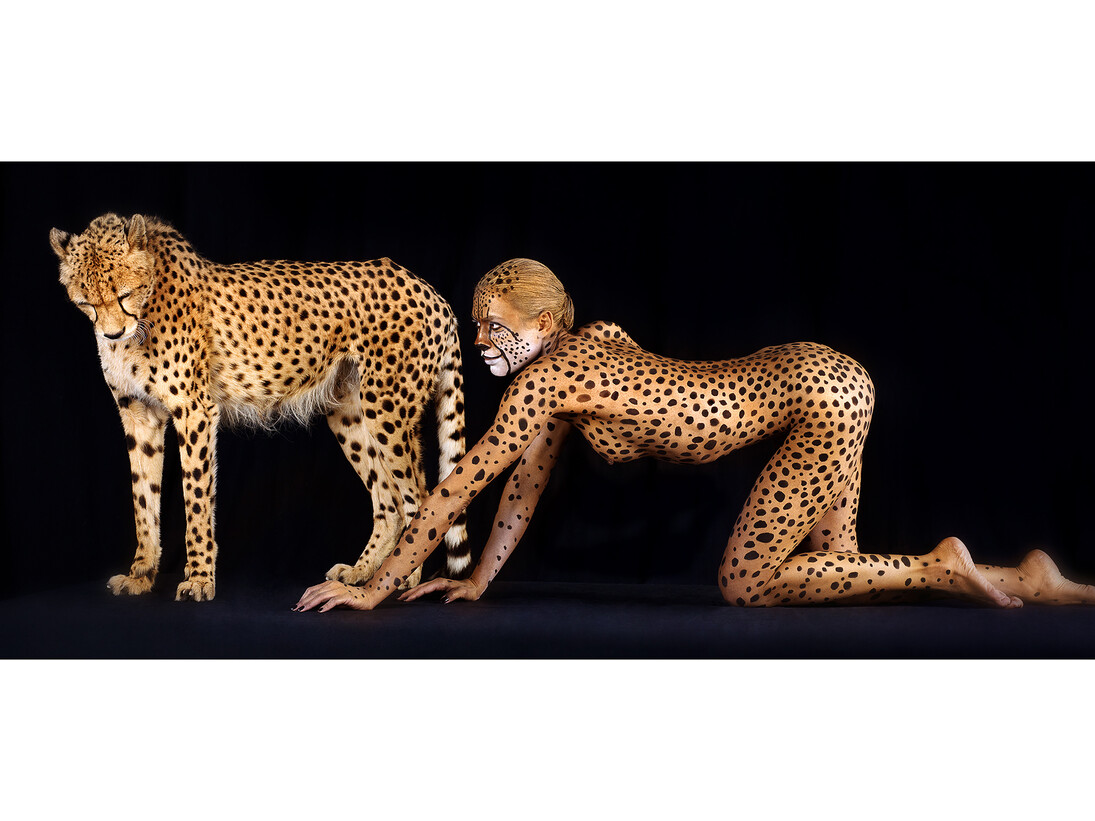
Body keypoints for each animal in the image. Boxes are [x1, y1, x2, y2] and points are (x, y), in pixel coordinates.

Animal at [51, 212, 471, 602]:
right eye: (86, 302)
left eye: (124, 294)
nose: (112, 333)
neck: (146, 305)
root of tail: (430, 290)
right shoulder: (138, 414)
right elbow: (143, 497)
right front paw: (140, 576)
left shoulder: (194, 411)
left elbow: (196, 499)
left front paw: (199, 579)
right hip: (349, 412)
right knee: (389, 499)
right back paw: (363, 572)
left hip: (387, 409)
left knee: (421, 496)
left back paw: (404, 578)